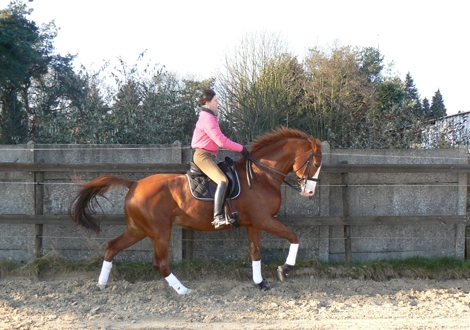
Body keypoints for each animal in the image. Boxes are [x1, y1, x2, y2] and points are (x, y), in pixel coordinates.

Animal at [69, 127, 320, 296]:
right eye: (315, 163)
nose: (309, 192)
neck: (261, 175)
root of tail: (134, 183)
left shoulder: (254, 224)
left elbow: (255, 252)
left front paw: (260, 283)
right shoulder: (265, 220)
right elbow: (294, 237)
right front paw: (285, 269)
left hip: (138, 229)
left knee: (111, 247)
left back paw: (101, 284)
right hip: (160, 231)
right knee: (160, 262)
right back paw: (183, 290)